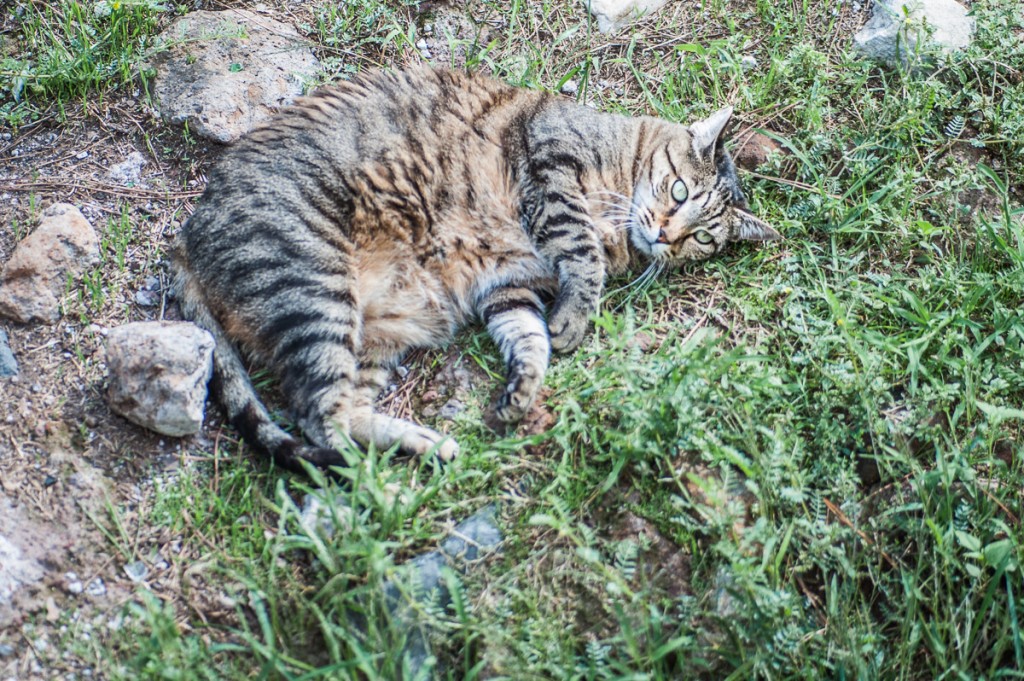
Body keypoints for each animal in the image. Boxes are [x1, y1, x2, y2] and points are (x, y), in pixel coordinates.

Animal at [172, 67, 778, 473]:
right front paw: (577, 317)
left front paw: (525, 387)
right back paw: (388, 481)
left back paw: (425, 445)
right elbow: (581, 252)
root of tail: (186, 239)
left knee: (345, 415)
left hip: (370, 338)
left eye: (703, 237)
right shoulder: (551, 162)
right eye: (679, 192)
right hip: (313, 288)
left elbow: (529, 338)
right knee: (320, 423)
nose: (667, 235)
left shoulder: (507, 285)